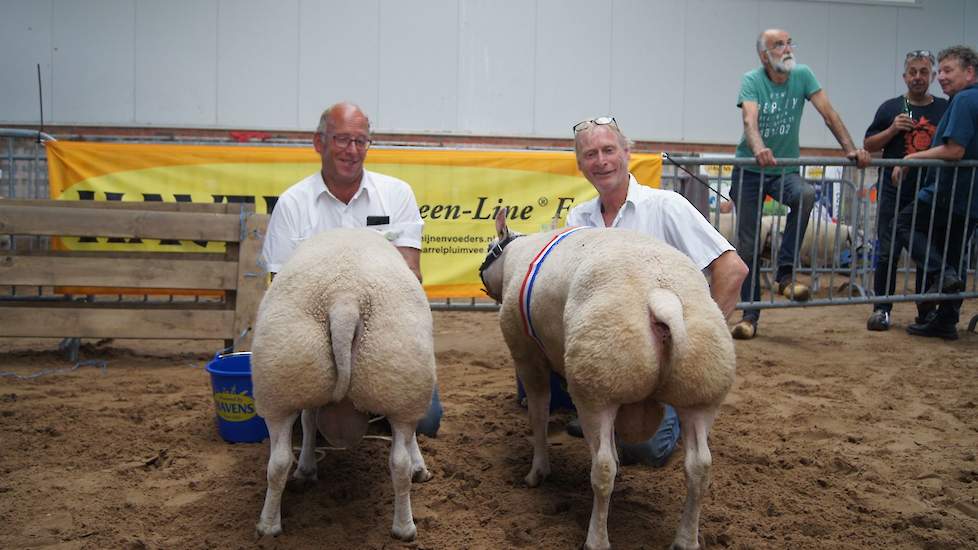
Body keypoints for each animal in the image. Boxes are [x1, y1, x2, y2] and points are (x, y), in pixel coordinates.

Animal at [252, 227, 434, 544]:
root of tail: (345, 297)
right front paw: (419, 467)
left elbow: (309, 421)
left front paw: (307, 469)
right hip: (401, 383)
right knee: (398, 464)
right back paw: (405, 527)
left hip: (281, 384)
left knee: (278, 463)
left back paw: (268, 526)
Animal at [476, 211, 736, 550]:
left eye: (489, 246)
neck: (515, 257)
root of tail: (661, 296)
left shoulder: (527, 356)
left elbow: (539, 414)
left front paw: (537, 472)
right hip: (700, 390)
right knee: (700, 466)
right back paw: (686, 539)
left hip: (597, 387)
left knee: (602, 469)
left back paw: (596, 538)